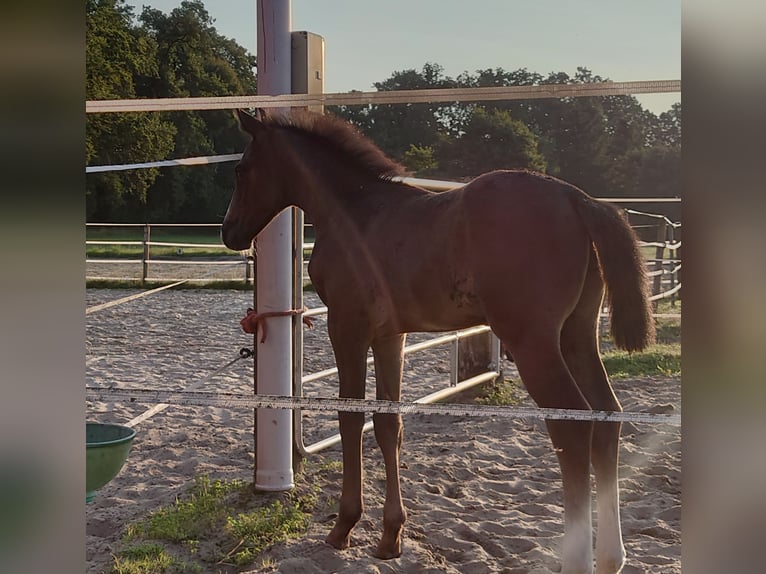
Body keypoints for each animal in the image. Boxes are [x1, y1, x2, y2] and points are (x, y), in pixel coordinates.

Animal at [222, 109, 656, 574]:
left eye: (241, 169)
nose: (229, 232)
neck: (356, 214)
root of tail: (579, 200)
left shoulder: (347, 327)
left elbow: (350, 419)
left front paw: (344, 526)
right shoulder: (390, 335)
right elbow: (388, 424)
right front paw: (390, 536)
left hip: (533, 343)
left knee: (572, 426)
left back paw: (578, 558)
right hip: (576, 335)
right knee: (607, 416)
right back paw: (611, 556)